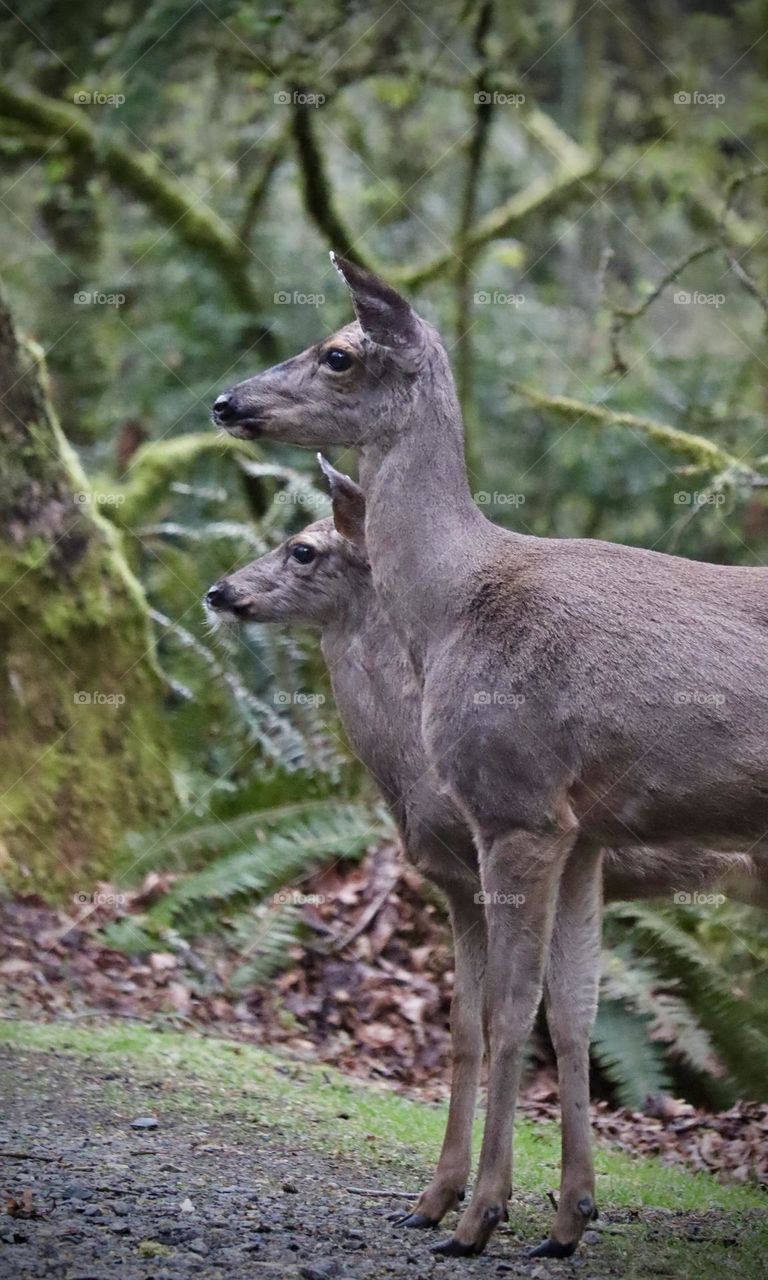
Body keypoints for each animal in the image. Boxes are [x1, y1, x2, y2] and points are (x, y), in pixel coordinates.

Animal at [211, 254, 768, 1254]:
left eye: (339, 352)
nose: (227, 401)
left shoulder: (514, 815)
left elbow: (505, 1016)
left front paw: (476, 1213)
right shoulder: (581, 838)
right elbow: (568, 1015)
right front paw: (565, 1213)